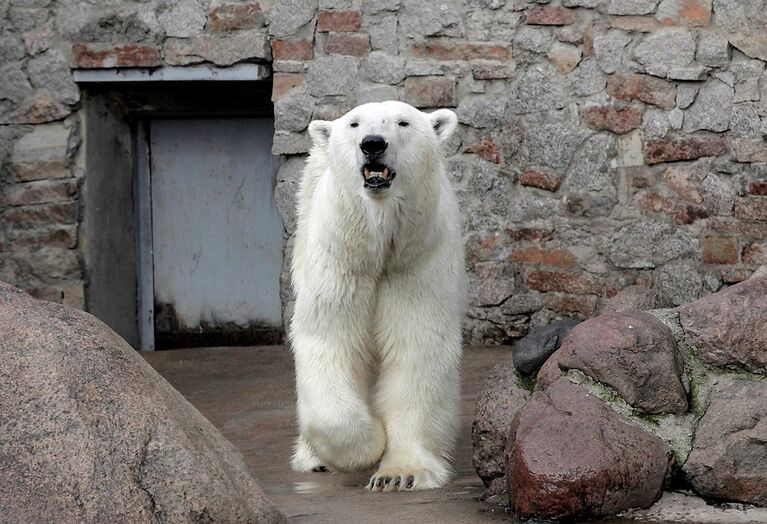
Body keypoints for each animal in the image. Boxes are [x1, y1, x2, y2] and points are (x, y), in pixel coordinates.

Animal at [288, 99, 468, 492]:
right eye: (355, 124)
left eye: (403, 122)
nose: (373, 143)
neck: (379, 248)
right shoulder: (341, 261)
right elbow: (330, 340)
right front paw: (369, 444)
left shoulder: (415, 262)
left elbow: (415, 347)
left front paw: (399, 473)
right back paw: (312, 459)